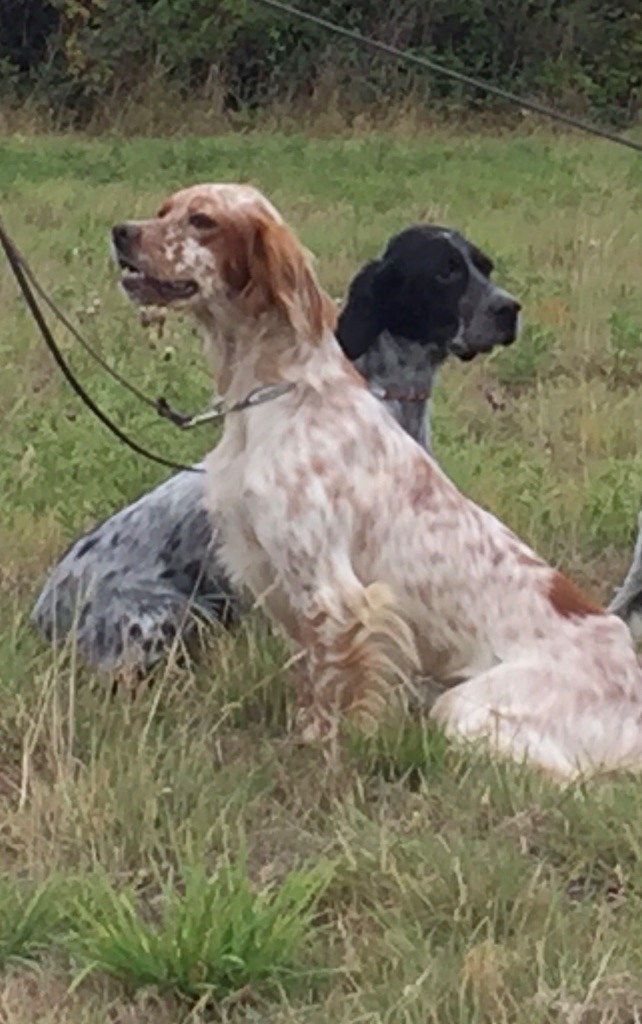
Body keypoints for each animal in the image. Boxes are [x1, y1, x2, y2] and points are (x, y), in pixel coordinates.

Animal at [113, 184, 642, 778]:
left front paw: (321, 750)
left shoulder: (332, 592)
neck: (277, 392)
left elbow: (331, 685)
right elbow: (309, 677)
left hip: (463, 709)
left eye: (202, 220)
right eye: (164, 211)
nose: (121, 233)